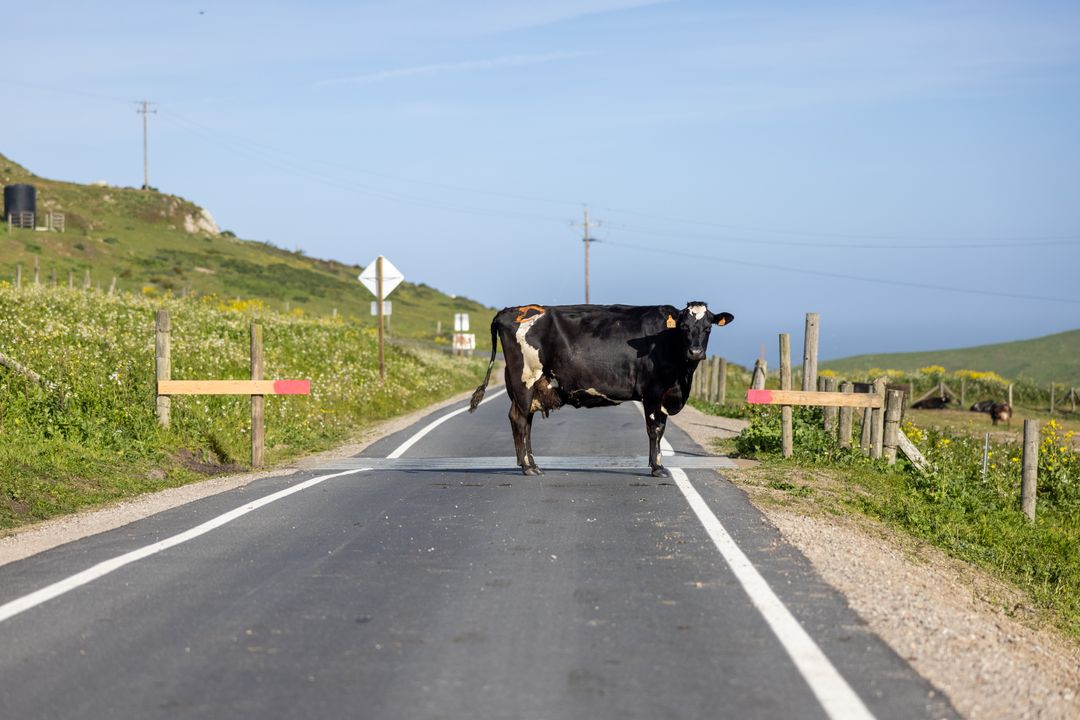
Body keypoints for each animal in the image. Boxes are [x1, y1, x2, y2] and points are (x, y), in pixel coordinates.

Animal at [469, 302, 734, 477]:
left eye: (708, 328)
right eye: (683, 327)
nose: (696, 352)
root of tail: (511, 310)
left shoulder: (664, 397)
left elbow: (660, 428)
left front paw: (656, 464)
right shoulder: (652, 391)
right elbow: (654, 430)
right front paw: (657, 468)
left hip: (531, 385)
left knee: (526, 422)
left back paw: (533, 464)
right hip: (524, 378)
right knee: (519, 419)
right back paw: (526, 467)